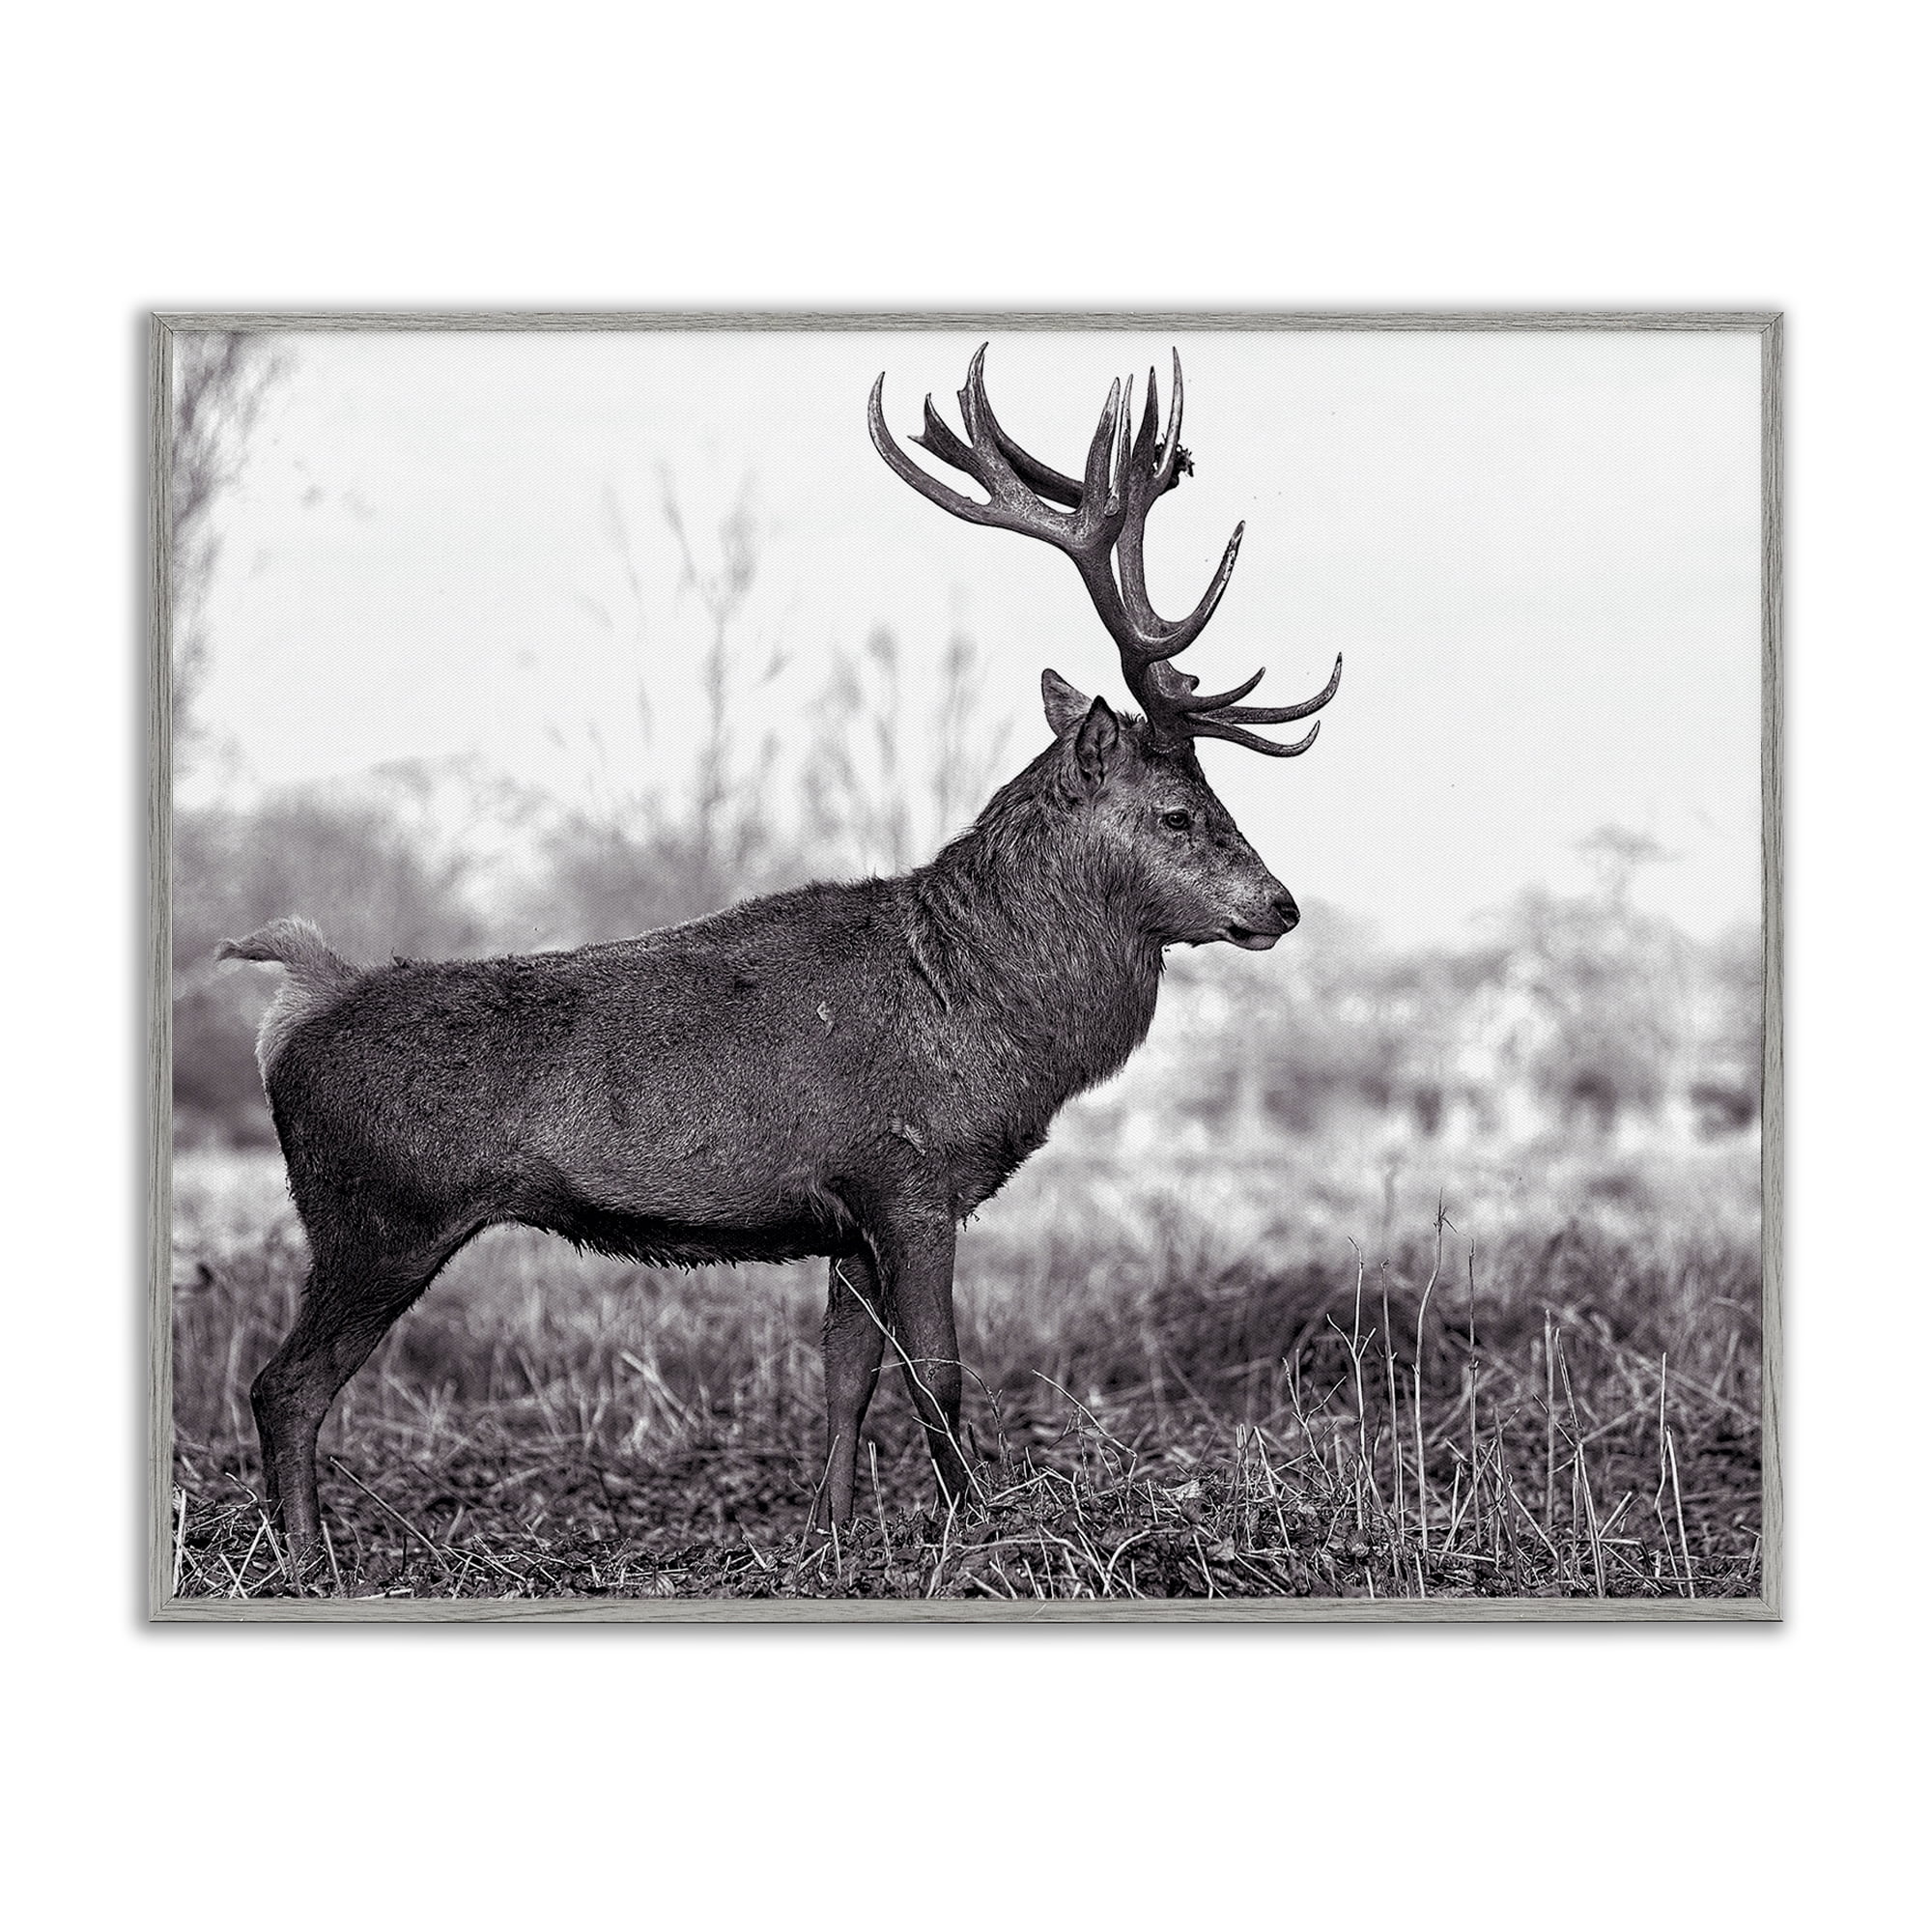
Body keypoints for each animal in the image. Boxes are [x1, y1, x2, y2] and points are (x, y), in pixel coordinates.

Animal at [215, 345, 1341, 1581]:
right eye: (1179, 813)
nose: (1280, 906)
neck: (990, 1013)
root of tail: (296, 1006)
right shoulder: (910, 1177)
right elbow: (936, 1375)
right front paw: (981, 1530)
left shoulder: (842, 1213)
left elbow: (844, 1377)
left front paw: (829, 1537)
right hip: (376, 1216)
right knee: (282, 1384)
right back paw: (305, 1558)